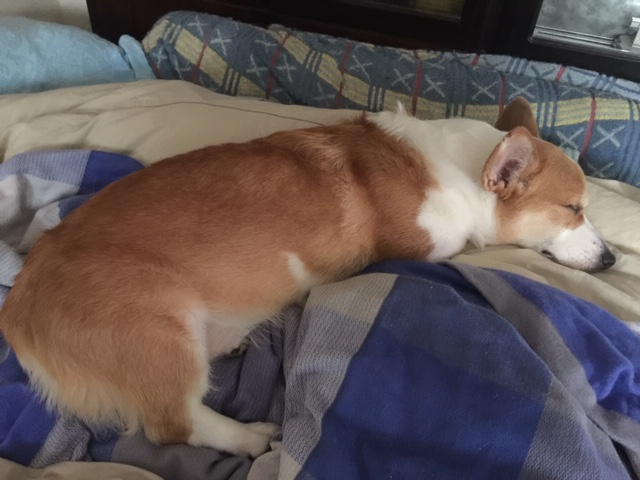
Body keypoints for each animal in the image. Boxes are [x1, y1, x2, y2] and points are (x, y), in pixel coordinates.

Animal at [0, 97, 615, 458]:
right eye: (573, 209)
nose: (612, 259)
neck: (458, 168)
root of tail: (17, 308)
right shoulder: (429, 245)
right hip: (161, 332)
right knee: (175, 424)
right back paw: (248, 438)